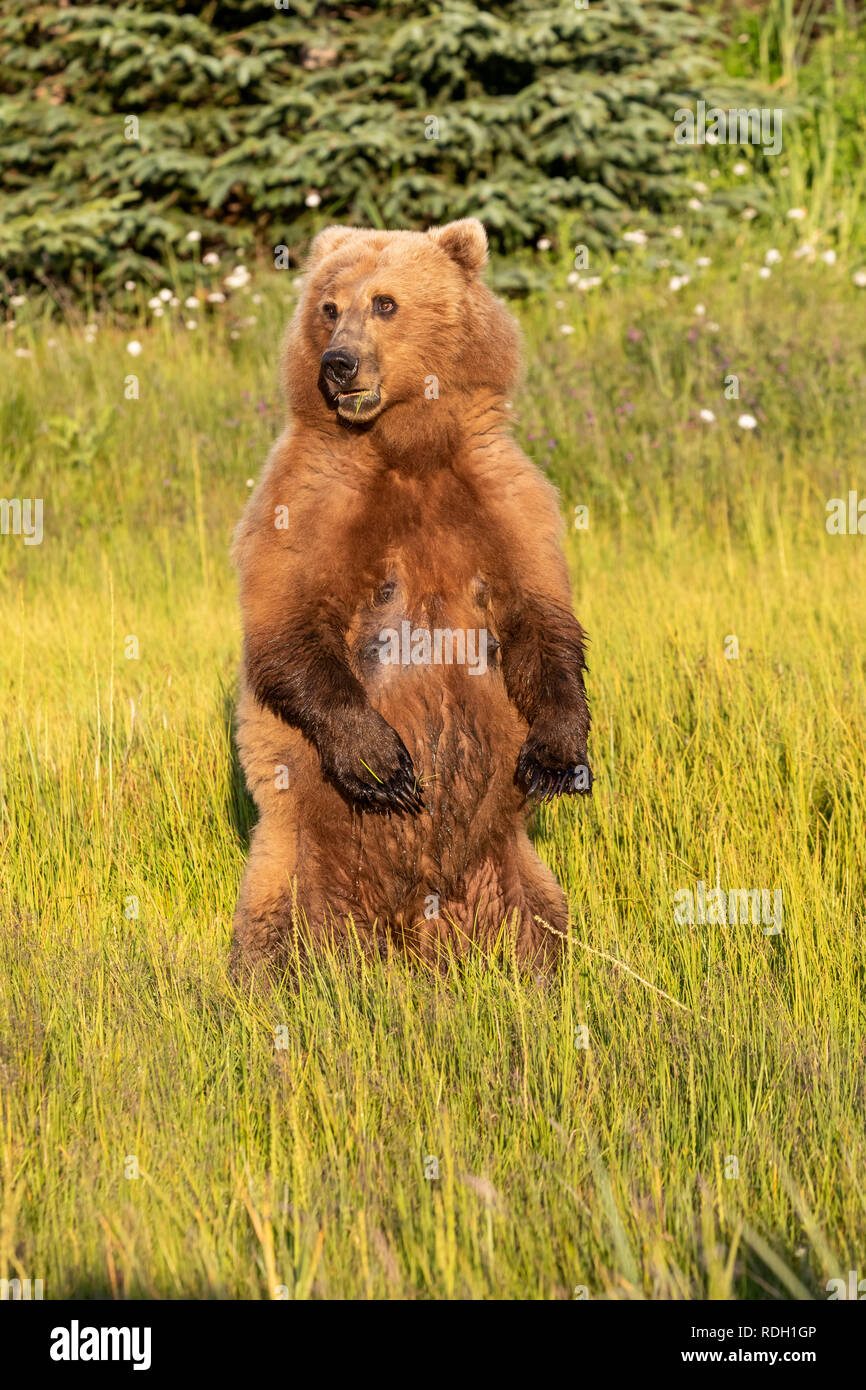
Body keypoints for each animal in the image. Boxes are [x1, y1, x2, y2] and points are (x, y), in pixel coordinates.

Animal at [229, 218, 591, 973]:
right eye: (328, 306)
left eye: (386, 302)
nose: (338, 364)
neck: (409, 444)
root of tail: (410, 931)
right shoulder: (312, 490)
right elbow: (286, 621)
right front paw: (383, 763)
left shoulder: (501, 491)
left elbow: (539, 617)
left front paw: (556, 754)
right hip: (296, 856)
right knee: (270, 931)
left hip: (505, 864)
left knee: (543, 921)